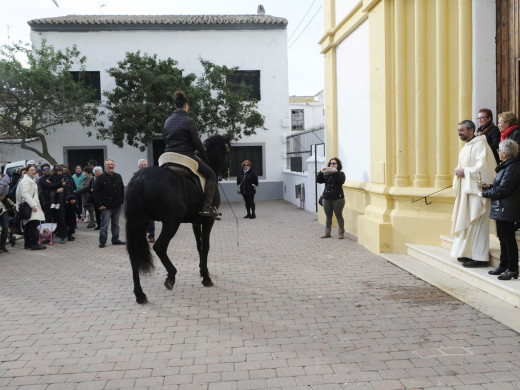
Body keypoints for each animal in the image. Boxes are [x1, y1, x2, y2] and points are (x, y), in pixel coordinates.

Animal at [125, 135, 231, 304]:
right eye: (229, 150)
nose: (227, 172)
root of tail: (140, 178)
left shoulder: (196, 222)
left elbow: (199, 245)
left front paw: (203, 270)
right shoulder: (208, 220)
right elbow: (205, 246)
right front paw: (206, 277)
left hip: (139, 222)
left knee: (134, 255)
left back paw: (140, 294)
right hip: (171, 222)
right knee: (159, 247)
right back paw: (171, 276)